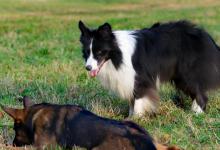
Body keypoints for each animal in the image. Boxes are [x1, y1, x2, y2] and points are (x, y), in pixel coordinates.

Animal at [78, 20, 220, 116]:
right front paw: (130, 117)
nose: (88, 68)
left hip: (187, 73)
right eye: (86, 52)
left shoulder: (140, 77)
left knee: (199, 92)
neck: (118, 54)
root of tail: (206, 36)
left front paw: (136, 118)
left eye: (99, 52)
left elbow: (138, 99)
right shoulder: (129, 79)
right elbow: (132, 101)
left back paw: (197, 112)